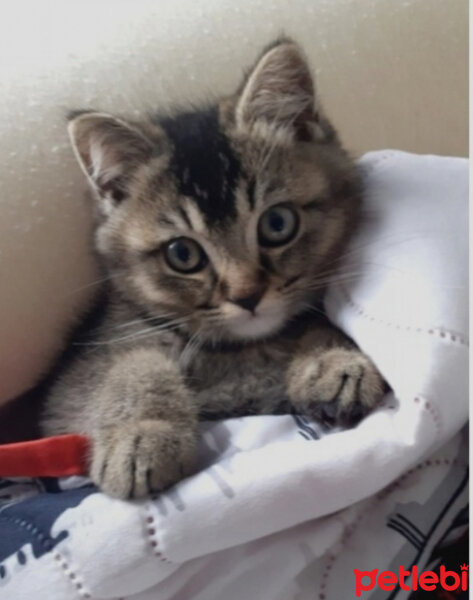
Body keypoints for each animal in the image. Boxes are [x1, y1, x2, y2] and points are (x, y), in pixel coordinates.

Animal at [39, 38, 384, 496]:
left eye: (278, 224)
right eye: (182, 255)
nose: (247, 296)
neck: (246, 350)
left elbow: (318, 318)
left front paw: (334, 362)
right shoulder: (77, 380)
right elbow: (133, 363)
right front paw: (141, 434)